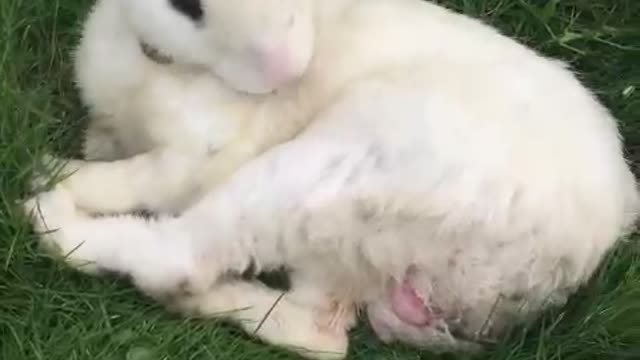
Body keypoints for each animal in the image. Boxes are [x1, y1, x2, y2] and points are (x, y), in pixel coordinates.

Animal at [23, 0, 636, 360]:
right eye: (188, 5)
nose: (285, 70)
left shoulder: (198, 159)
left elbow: (126, 178)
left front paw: (51, 171)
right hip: (339, 252)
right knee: (322, 334)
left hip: (322, 173)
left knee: (177, 260)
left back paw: (51, 220)